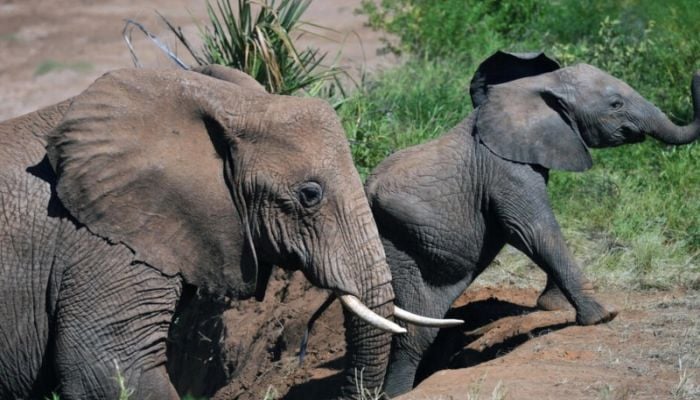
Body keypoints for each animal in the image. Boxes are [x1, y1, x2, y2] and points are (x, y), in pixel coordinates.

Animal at [365, 51, 700, 397]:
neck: (537, 88)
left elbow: (540, 232)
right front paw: (603, 315)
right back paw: (396, 393)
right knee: (413, 331)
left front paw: (552, 306)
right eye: (616, 104)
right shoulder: (506, 169)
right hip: (404, 246)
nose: (696, 74)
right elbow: (533, 230)